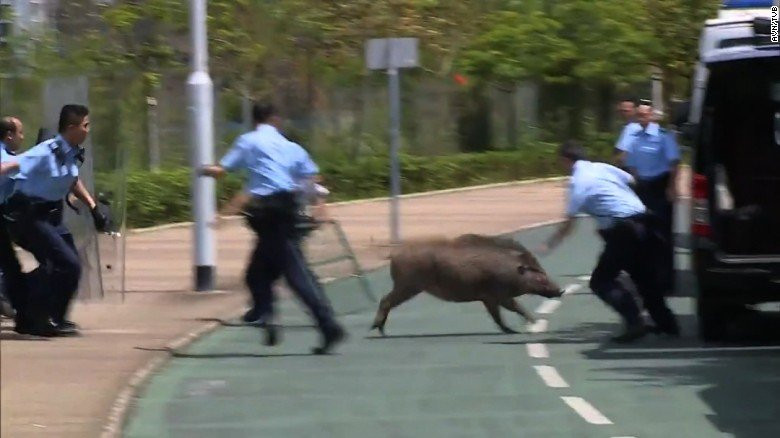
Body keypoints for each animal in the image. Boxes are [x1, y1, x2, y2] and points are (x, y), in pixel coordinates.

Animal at [370, 237, 562, 335]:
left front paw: (514, 329)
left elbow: (499, 315)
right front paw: (530, 325)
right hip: (407, 285)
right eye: (540, 277)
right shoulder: (495, 295)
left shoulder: (489, 298)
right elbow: (512, 309)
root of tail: (393, 254)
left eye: (543, 272)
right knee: (385, 300)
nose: (561, 290)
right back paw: (378, 329)